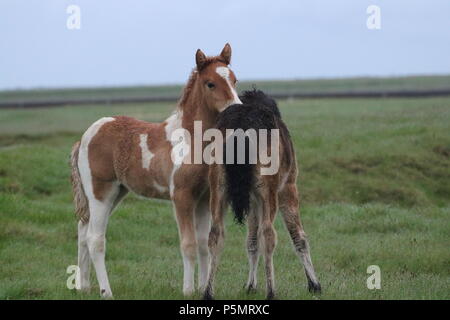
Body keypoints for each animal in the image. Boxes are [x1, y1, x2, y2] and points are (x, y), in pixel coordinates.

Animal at [69, 43, 243, 298]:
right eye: (210, 83)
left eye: (234, 79)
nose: (237, 111)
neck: (192, 139)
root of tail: (84, 137)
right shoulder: (181, 196)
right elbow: (188, 244)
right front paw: (188, 290)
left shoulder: (203, 197)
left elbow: (203, 244)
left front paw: (203, 288)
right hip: (100, 192)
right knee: (94, 238)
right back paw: (106, 291)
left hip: (116, 192)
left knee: (82, 230)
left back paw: (83, 286)